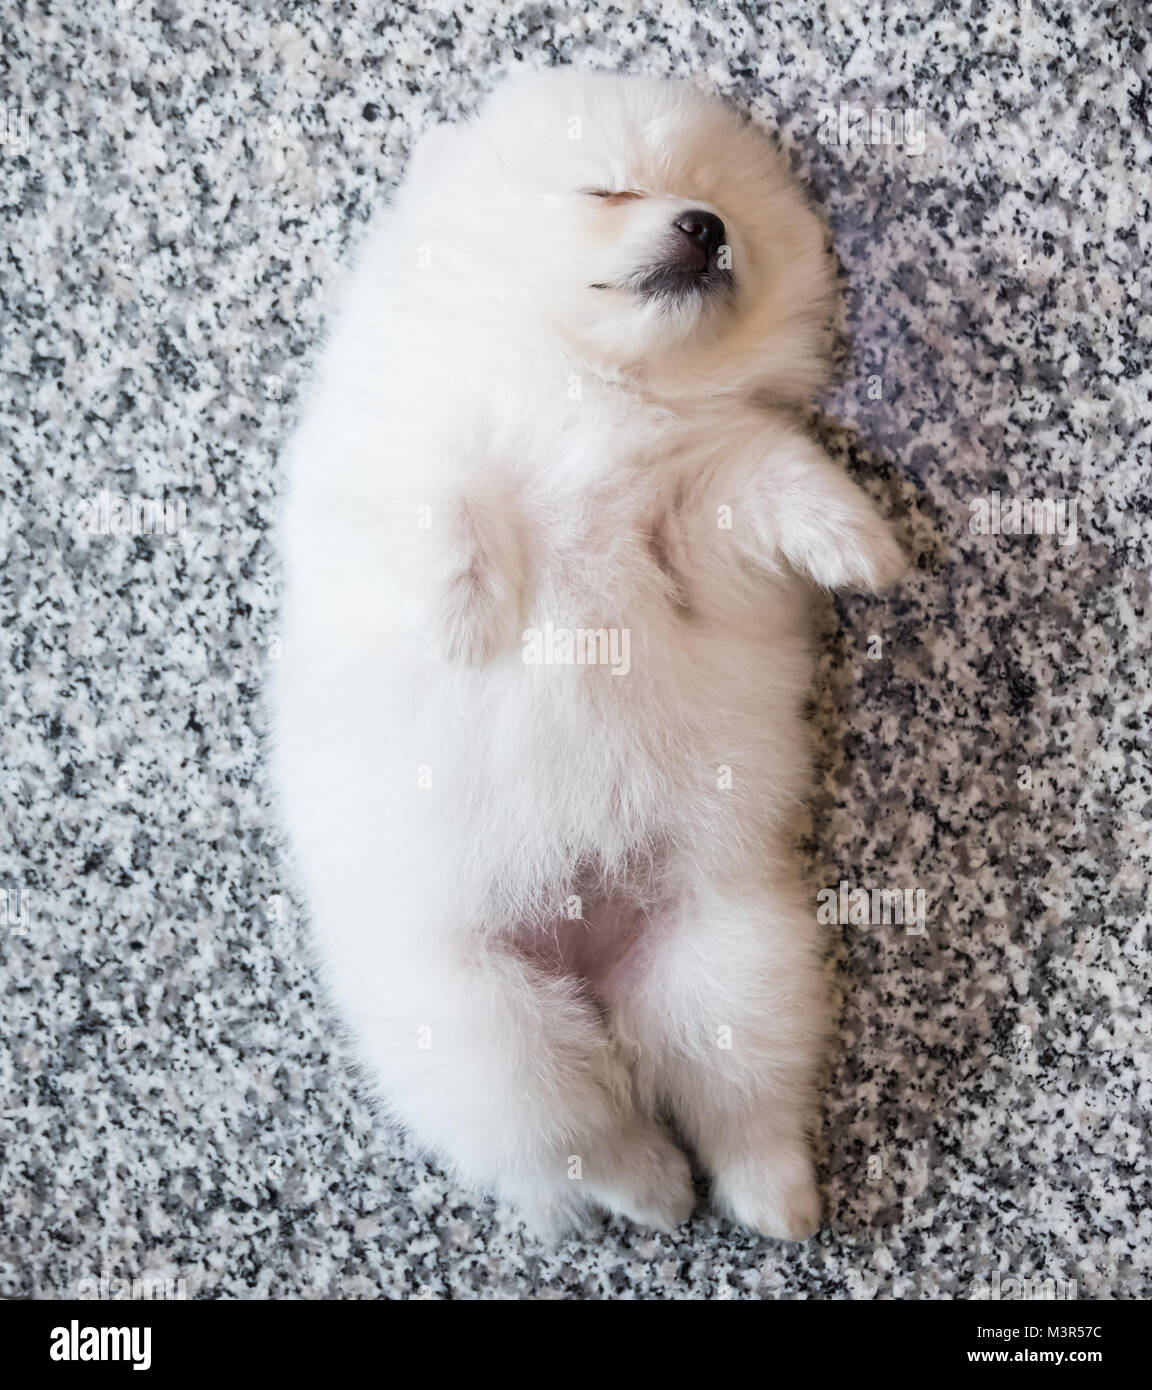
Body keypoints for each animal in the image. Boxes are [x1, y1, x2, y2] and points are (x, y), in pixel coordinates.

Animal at [273, 67, 906, 1239]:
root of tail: (590, 960)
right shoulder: (400, 447)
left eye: (728, 211)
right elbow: (448, 499)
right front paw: (466, 619)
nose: (703, 227)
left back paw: (770, 1195)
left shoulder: (696, 513)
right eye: (608, 186)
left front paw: (858, 540)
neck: (591, 384)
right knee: (577, 1132)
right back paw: (652, 1190)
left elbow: (772, 471)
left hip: (732, 959)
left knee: (733, 1098)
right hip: (480, 1020)